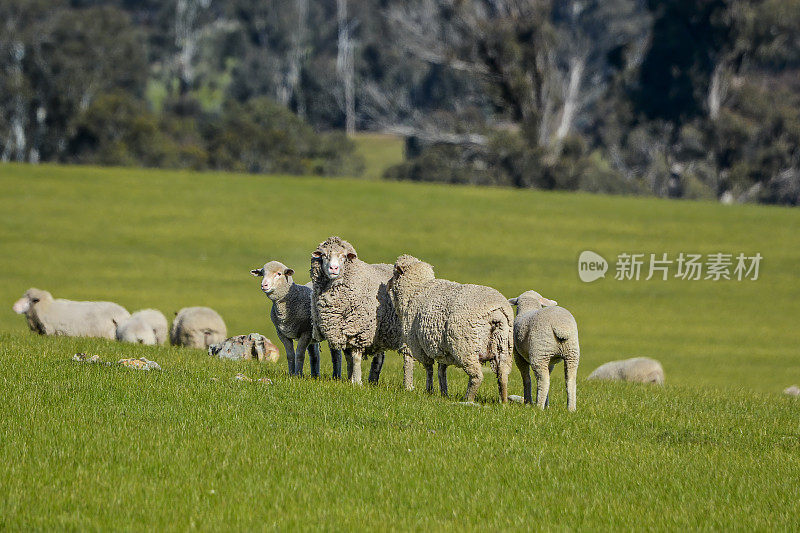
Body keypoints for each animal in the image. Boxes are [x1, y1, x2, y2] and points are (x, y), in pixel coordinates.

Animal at [310, 237, 416, 386]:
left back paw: (409, 385)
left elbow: (356, 358)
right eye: (324, 255)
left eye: (344, 256)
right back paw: (373, 381)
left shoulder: (358, 331)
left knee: (408, 358)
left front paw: (357, 382)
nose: (333, 268)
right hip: (381, 332)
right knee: (379, 358)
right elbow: (348, 359)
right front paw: (350, 379)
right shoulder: (344, 331)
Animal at [388, 256, 512, 402]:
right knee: (503, 375)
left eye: (395, 273)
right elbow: (441, 371)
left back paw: (468, 399)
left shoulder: (419, 346)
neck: (416, 290)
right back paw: (503, 401)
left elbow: (429, 369)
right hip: (504, 346)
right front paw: (443, 393)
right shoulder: (443, 349)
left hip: (465, 347)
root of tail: (495, 314)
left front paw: (429, 390)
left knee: (477, 376)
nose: (388, 284)